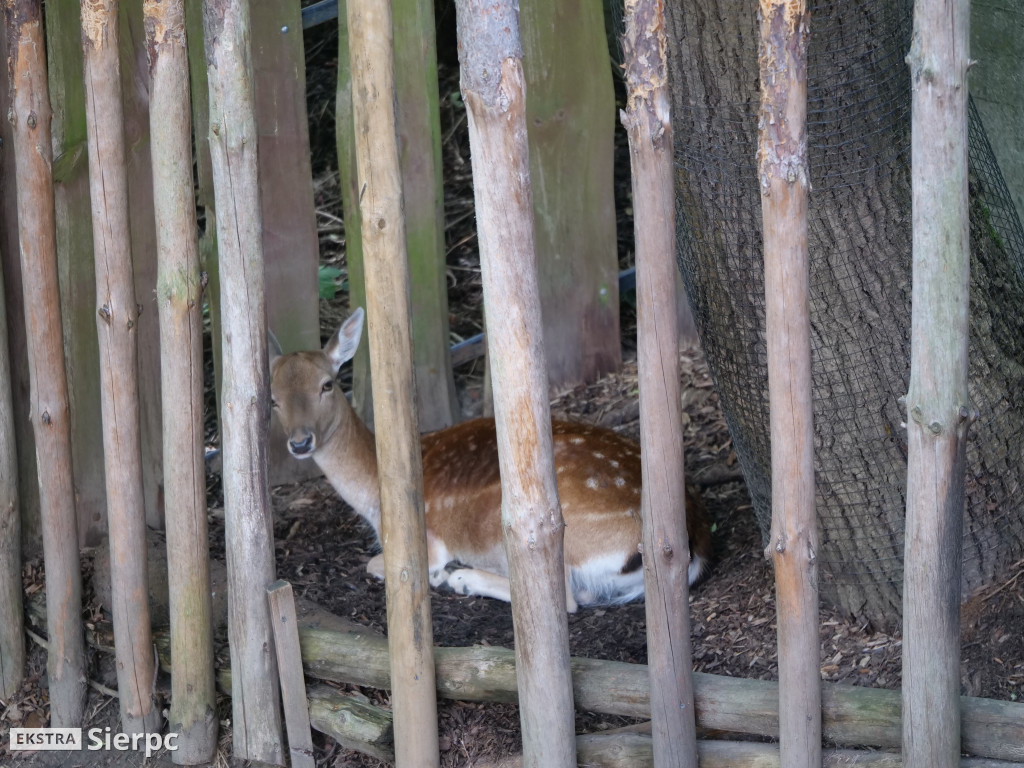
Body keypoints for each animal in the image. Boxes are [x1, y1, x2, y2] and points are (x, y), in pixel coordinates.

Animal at [268, 307, 708, 614]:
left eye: (327, 384)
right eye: (272, 398)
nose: (300, 442)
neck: (375, 496)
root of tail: (692, 543)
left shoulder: (426, 539)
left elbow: (377, 565)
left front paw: (441, 573)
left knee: (565, 598)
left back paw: (462, 578)